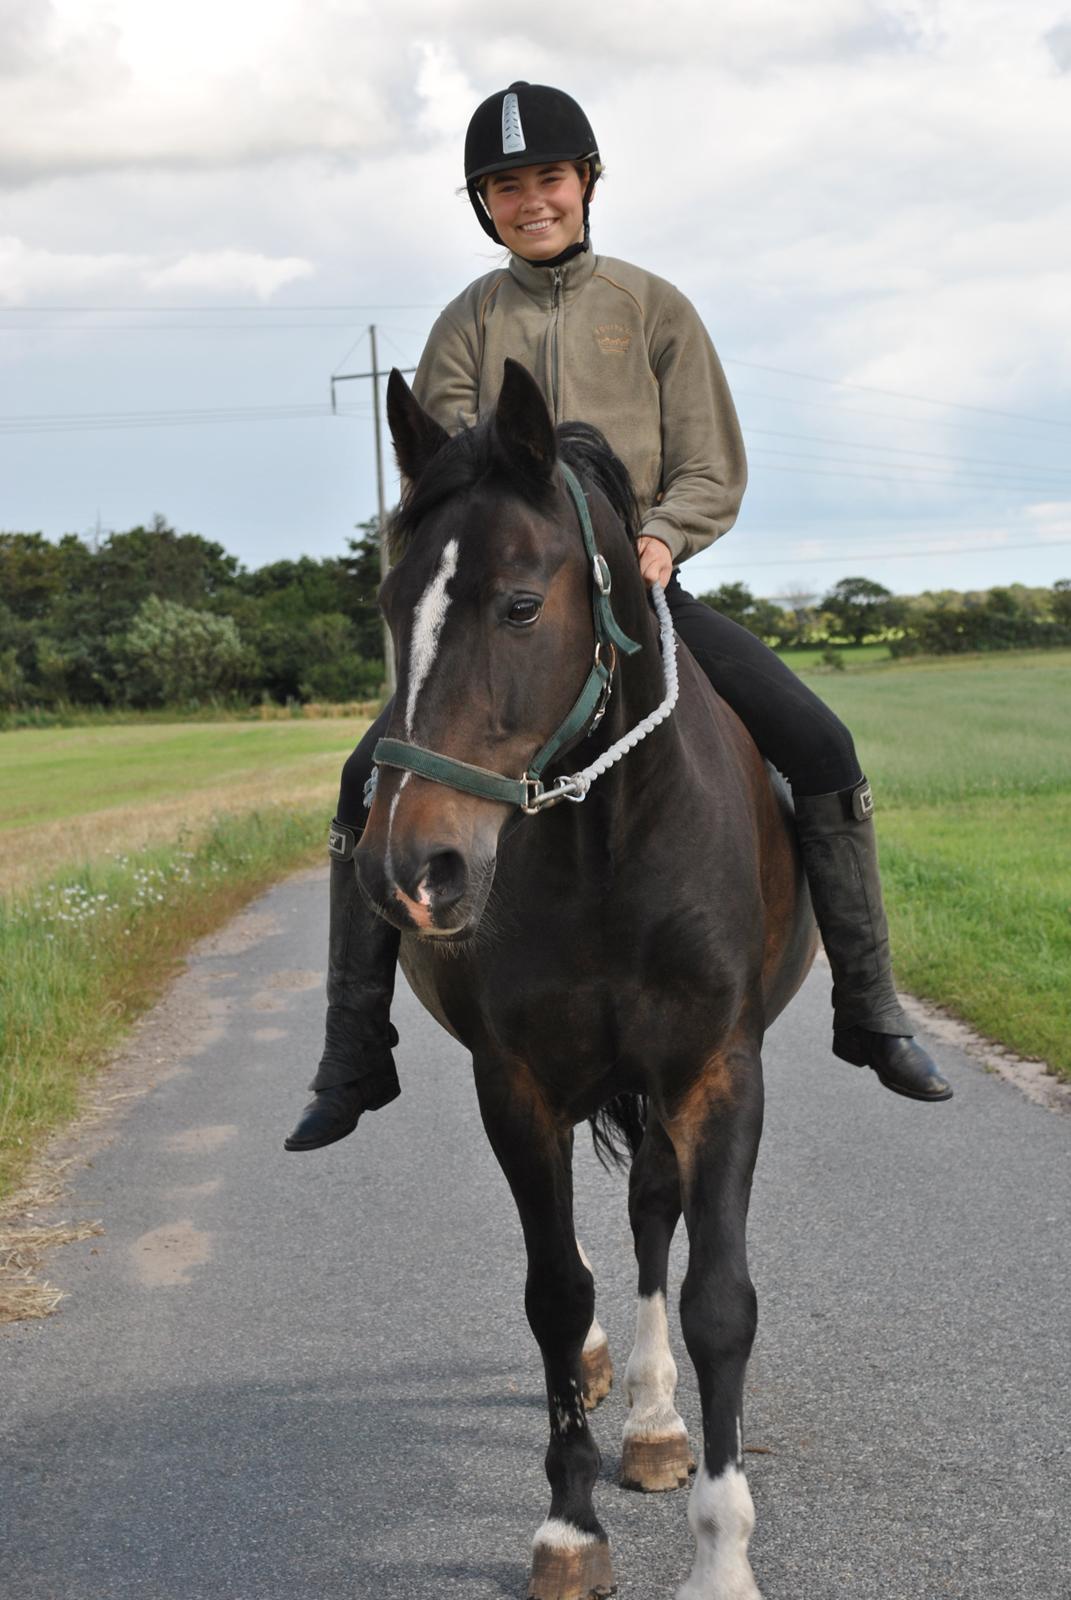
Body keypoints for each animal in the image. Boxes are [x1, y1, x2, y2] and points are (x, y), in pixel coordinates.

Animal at [355, 363, 813, 1600]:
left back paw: (656, 1423)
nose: (411, 869)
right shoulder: (517, 1085)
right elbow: (555, 1293)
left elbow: (718, 1301)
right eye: (389, 605)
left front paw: (720, 1555)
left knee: (655, 1215)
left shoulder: (717, 1072)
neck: (608, 837)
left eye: (519, 605)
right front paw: (568, 1526)